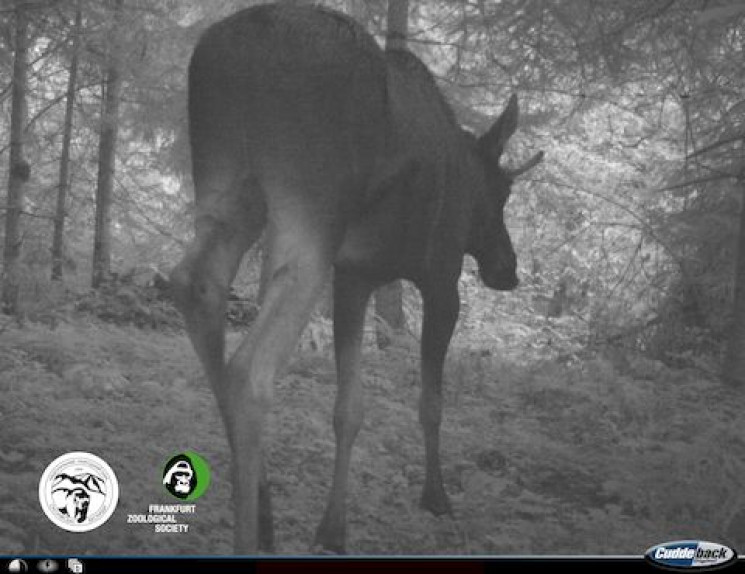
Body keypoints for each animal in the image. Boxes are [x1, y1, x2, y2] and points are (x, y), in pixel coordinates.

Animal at [170, 2, 540, 556]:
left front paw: (332, 527)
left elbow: (348, 408)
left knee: (195, 288)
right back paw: (252, 533)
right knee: (250, 369)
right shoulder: (441, 277)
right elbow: (431, 401)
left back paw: (265, 514)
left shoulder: (354, 275)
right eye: (502, 194)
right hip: (310, 216)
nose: (507, 267)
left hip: (227, 186)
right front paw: (436, 496)